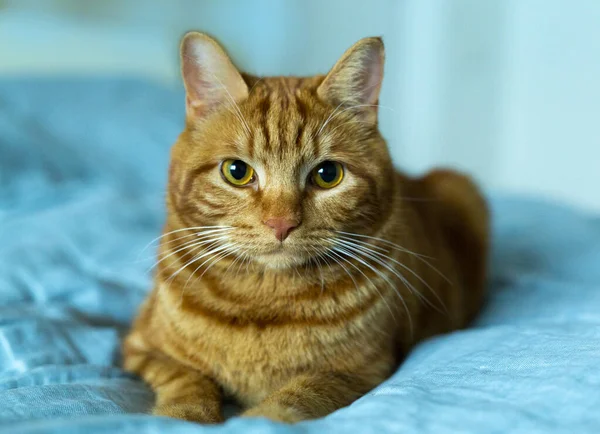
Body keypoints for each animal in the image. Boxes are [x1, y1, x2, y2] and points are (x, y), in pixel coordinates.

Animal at [123, 33, 488, 424]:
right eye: (237, 171)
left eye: (328, 174)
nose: (281, 223)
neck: (263, 302)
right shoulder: (142, 348)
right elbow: (187, 382)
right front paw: (183, 417)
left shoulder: (359, 372)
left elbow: (295, 397)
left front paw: (258, 419)